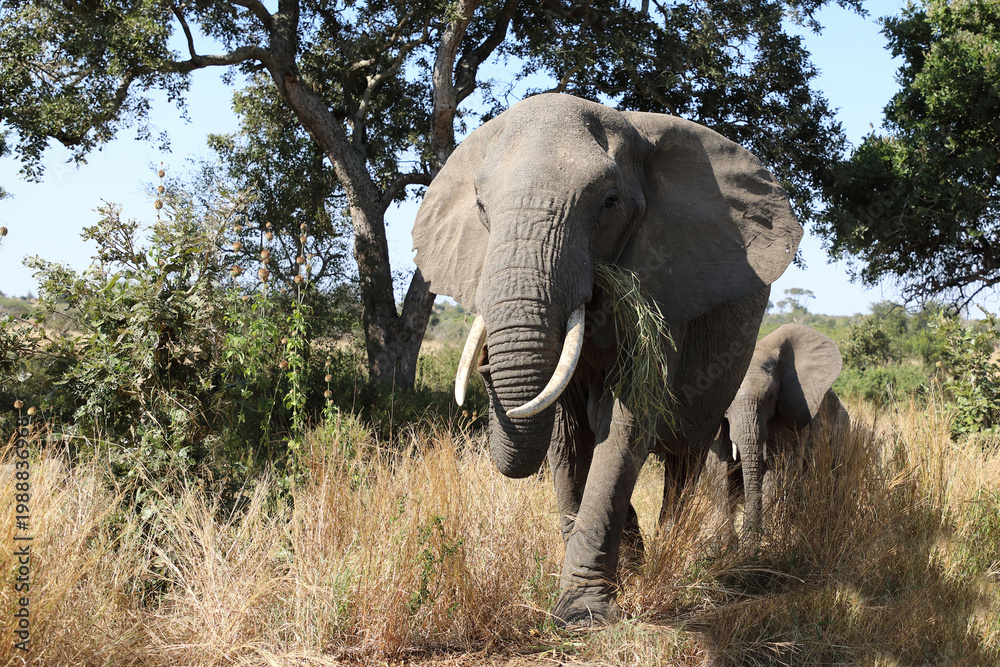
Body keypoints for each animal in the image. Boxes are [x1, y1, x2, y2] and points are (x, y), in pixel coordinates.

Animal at [411, 93, 802, 627]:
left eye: (609, 202)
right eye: (481, 207)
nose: (486, 363)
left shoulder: (666, 283)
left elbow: (626, 419)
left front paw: (581, 615)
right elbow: (567, 432)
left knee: (686, 456)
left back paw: (672, 552)